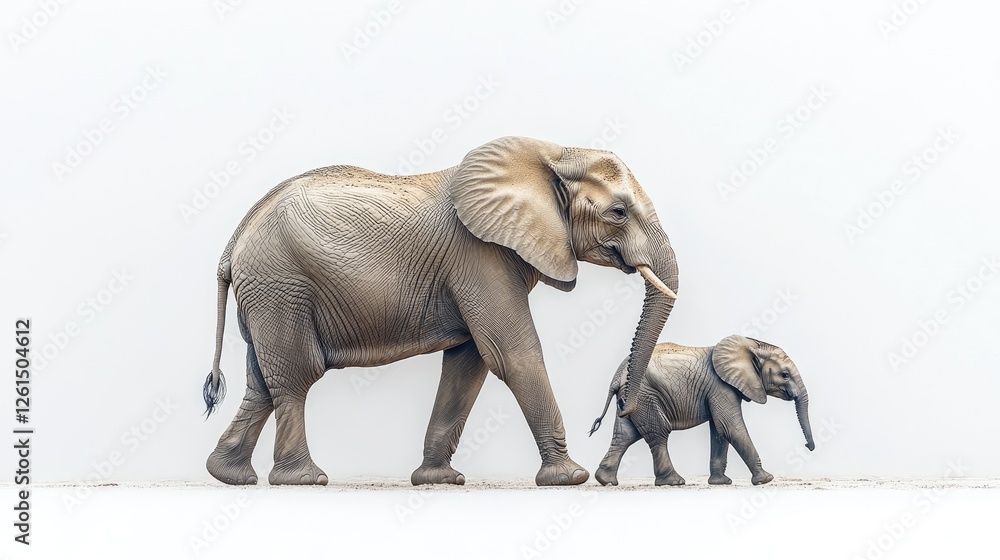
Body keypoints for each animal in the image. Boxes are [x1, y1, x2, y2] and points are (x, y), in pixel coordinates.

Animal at [201, 136, 680, 487]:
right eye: (618, 212)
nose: (616, 412)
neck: (553, 153)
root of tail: (234, 240)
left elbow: (469, 364)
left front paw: (439, 480)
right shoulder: (479, 255)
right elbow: (511, 354)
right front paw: (569, 478)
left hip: (268, 293)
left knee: (262, 382)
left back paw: (231, 476)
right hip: (281, 286)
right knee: (296, 377)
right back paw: (305, 480)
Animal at [589, 335, 814, 486]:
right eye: (784, 375)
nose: (807, 446)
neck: (751, 344)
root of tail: (617, 376)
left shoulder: (718, 390)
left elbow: (719, 432)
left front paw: (721, 482)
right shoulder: (720, 386)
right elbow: (730, 427)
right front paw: (766, 479)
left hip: (632, 399)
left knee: (625, 434)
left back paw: (606, 480)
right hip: (646, 395)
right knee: (658, 432)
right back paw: (674, 482)